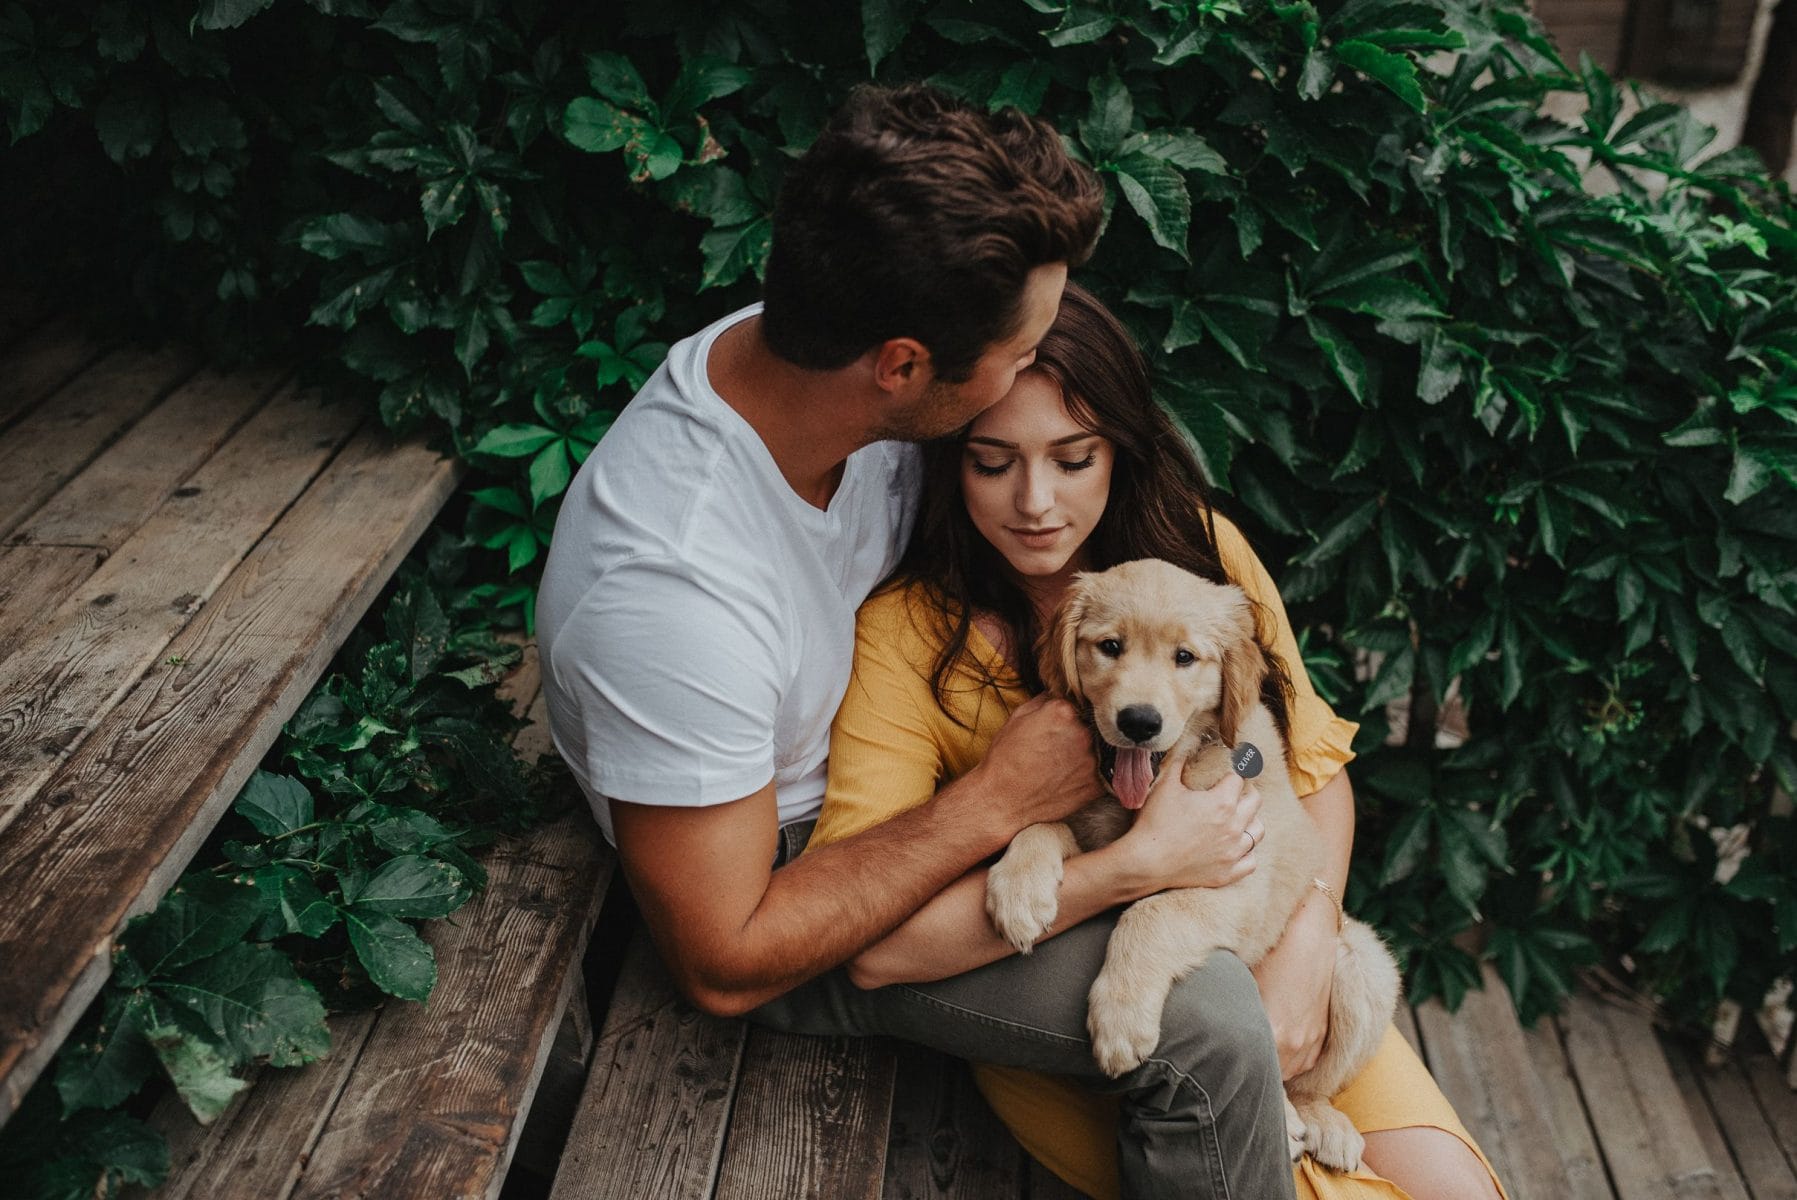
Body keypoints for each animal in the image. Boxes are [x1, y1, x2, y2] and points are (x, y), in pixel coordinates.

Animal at [984, 564, 1401, 1171]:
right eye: (1110, 647)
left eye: (1184, 657)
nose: (1139, 722)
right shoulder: (1093, 831)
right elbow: (1041, 826)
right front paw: (1019, 893)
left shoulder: (1238, 879)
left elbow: (1152, 913)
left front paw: (1120, 1019)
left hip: (1365, 967)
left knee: (1307, 1082)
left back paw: (1316, 1123)